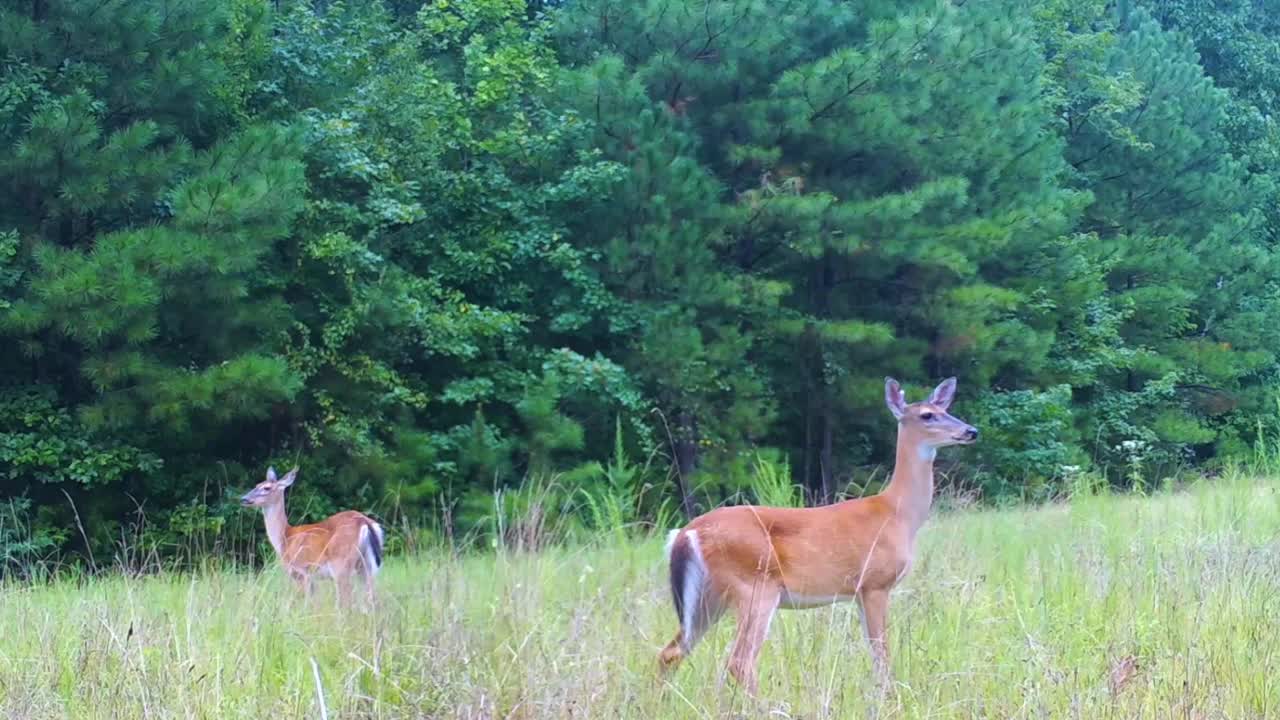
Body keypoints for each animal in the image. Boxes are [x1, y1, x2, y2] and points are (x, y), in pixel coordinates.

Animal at [238, 466, 381, 604]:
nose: (243, 498)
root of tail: (364, 522)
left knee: (346, 601)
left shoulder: (301, 571)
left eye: (266, 488)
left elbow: (305, 603)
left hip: (342, 564)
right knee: (372, 598)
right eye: (257, 484)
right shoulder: (311, 577)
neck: (284, 538)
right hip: (366, 566)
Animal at [660, 376, 977, 691]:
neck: (897, 514)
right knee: (739, 662)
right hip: (755, 586)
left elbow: (875, 653)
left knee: (671, 652)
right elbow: (882, 657)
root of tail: (685, 533)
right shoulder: (875, 583)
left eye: (946, 409)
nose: (971, 431)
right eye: (927, 415)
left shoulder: (858, 593)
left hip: (710, 595)